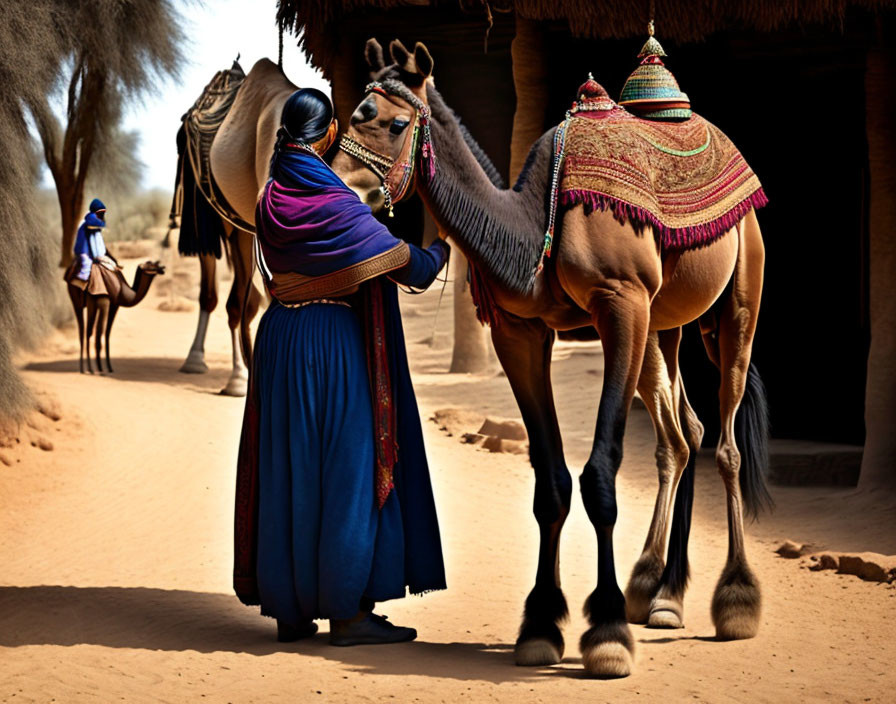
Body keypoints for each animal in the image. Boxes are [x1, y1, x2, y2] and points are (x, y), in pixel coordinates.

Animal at [328, 37, 768, 676]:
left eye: (393, 121)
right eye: (351, 115)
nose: (337, 186)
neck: (534, 227)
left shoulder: (621, 305)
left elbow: (601, 472)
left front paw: (606, 634)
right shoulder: (521, 331)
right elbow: (551, 482)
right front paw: (540, 627)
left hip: (736, 296)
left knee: (727, 441)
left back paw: (735, 601)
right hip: (665, 325)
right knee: (684, 432)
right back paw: (659, 593)